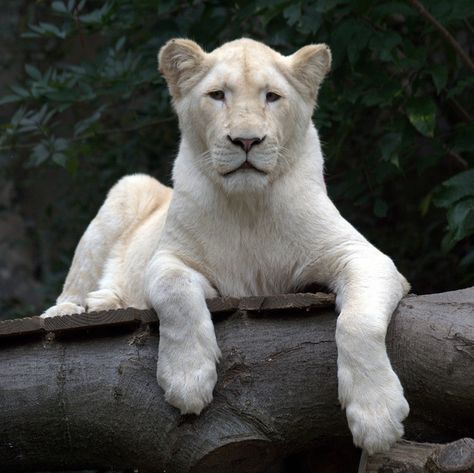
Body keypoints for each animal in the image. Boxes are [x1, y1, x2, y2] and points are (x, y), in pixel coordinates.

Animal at [41, 37, 412, 454]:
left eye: (272, 96)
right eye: (217, 95)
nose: (247, 140)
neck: (248, 206)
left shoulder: (360, 255)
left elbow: (357, 323)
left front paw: (377, 417)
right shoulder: (170, 256)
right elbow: (175, 292)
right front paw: (187, 379)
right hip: (128, 188)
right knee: (75, 282)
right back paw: (80, 307)